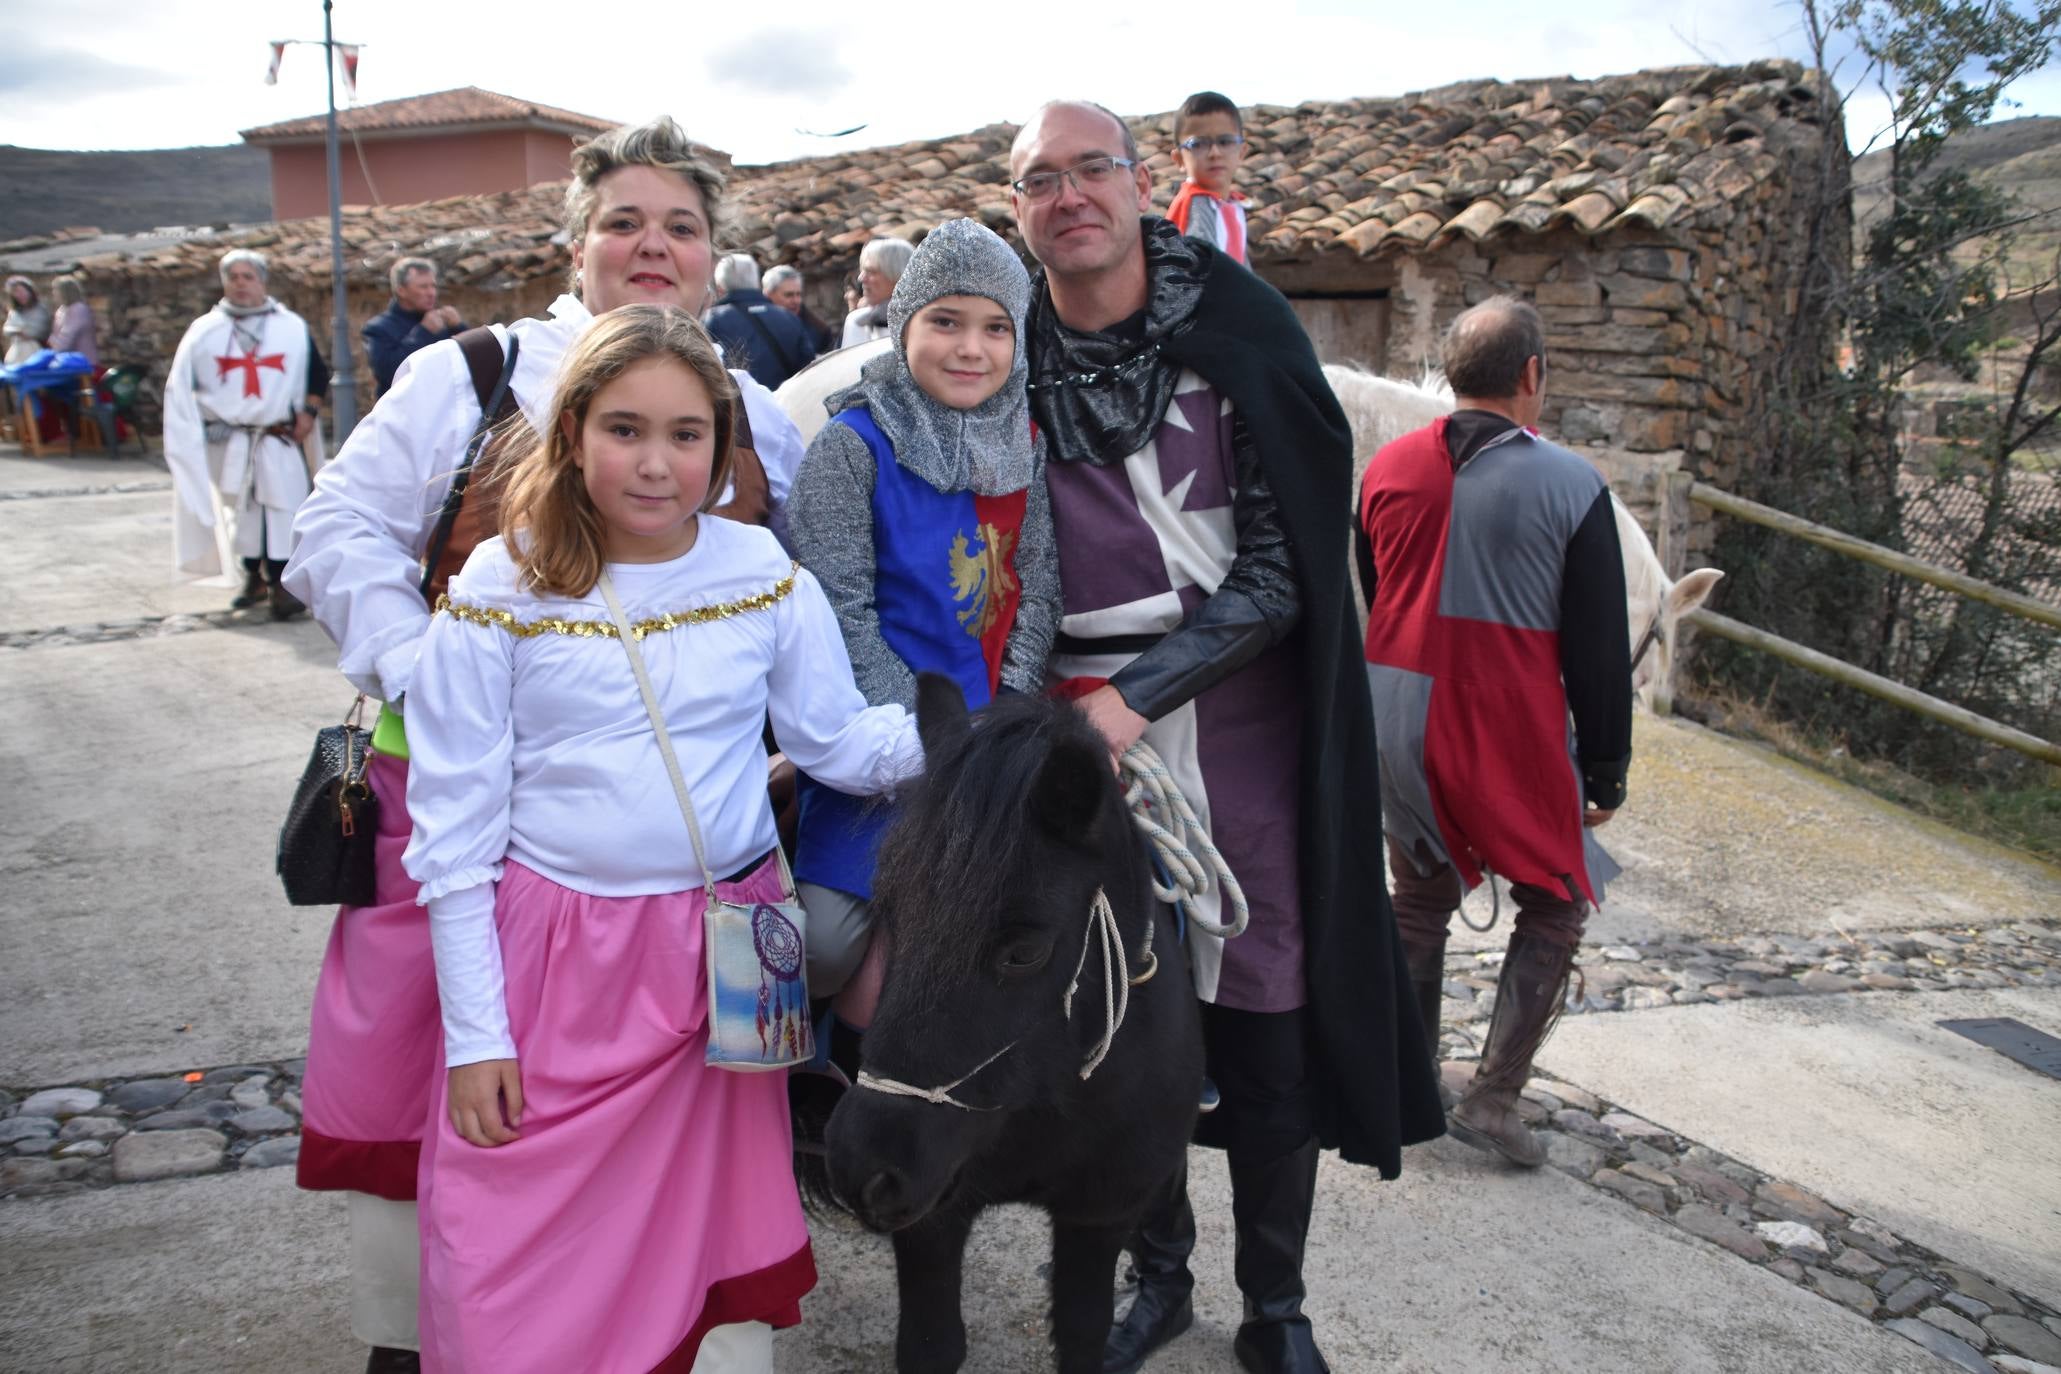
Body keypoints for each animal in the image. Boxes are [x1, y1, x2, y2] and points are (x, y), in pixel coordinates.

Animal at [824, 675, 1203, 1374]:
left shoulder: (1098, 1214)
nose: (864, 1167)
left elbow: (1082, 1336)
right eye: (889, 912)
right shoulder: (933, 1219)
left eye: (1024, 952)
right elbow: (932, 1345)